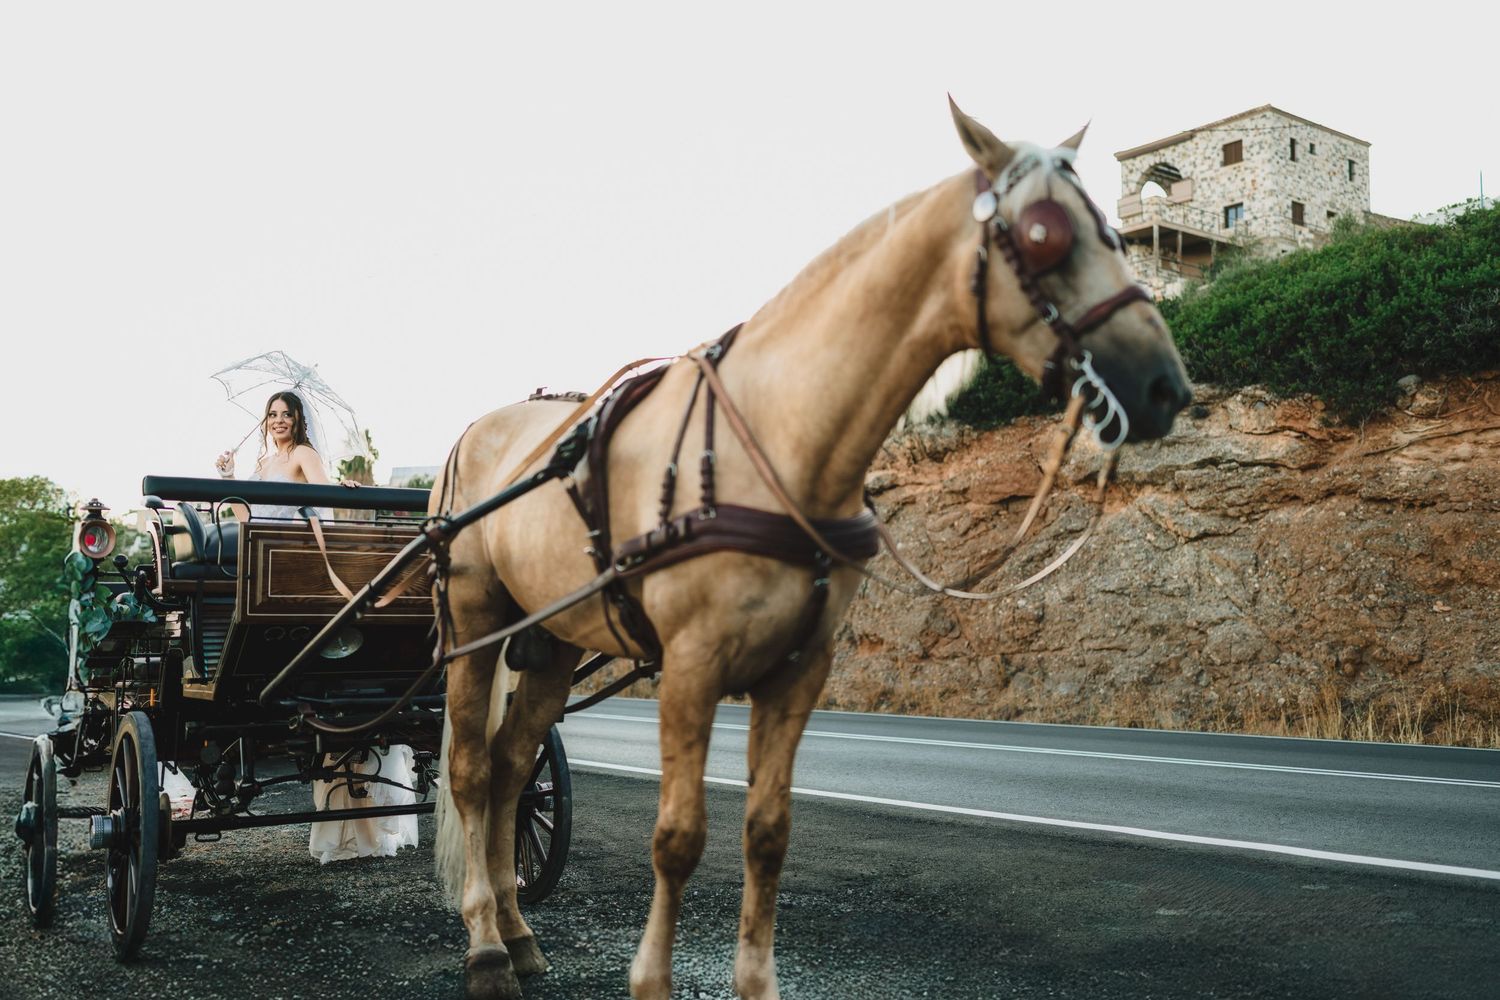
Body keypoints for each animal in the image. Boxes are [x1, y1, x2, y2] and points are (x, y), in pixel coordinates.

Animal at [430, 99, 1193, 1000]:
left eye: (1114, 231)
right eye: (1044, 234)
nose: (1165, 387)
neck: (779, 436)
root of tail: (474, 435)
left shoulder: (799, 669)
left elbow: (767, 833)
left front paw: (756, 980)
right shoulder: (691, 668)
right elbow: (677, 837)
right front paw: (650, 979)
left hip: (549, 643)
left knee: (516, 768)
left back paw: (517, 932)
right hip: (475, 623)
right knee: (473, 772)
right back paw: (484, 943)